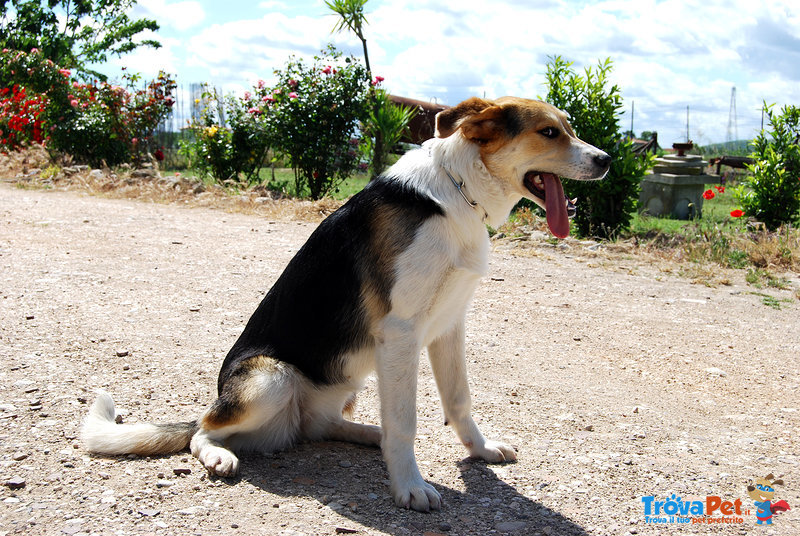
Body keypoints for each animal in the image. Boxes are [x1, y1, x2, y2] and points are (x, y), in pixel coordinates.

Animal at [84, 95, 608, 510]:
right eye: (549, 132)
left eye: (569, 127)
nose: (606, 160)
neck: (455, 196)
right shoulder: (402, 333)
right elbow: (405, 422)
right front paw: (409, 486)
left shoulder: (448, 326)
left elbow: (459, 400)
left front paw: (479, 451)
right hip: (271, 380)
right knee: (202, 429)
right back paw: (219, 453)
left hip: (348, 382)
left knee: (321, 425)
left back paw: (366, 435)